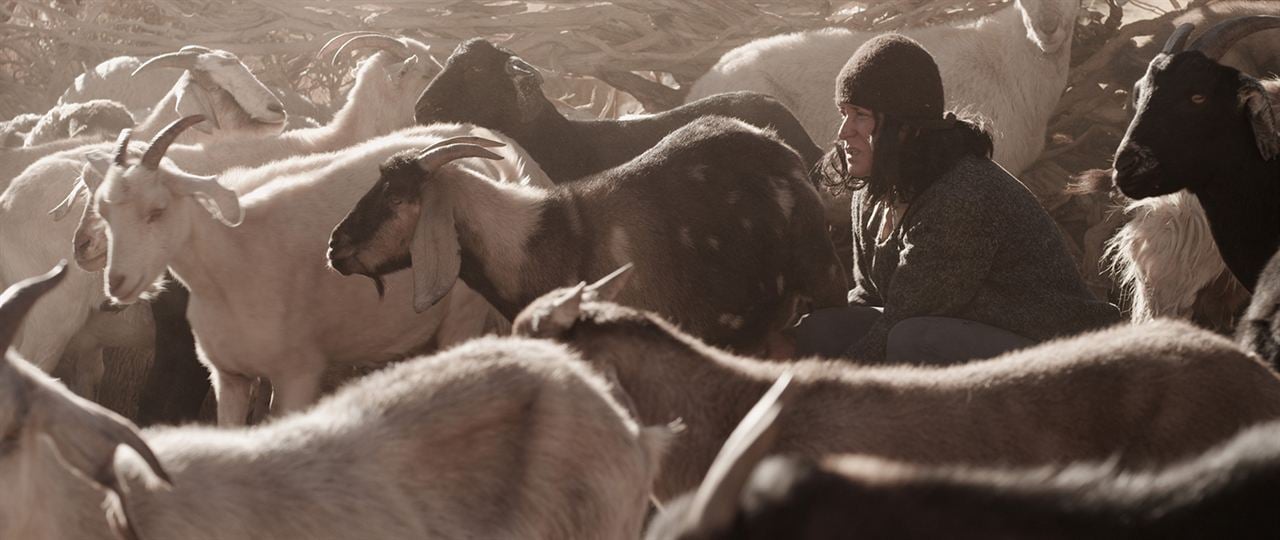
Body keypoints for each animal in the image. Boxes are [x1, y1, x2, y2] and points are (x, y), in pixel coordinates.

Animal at [85, 118, 552, 424]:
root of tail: (501, 164)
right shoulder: (229, 378)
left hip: (463, 315)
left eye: (157, 210)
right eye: (104, 211)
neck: (232, 260)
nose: (116, 282)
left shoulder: (298, 375)